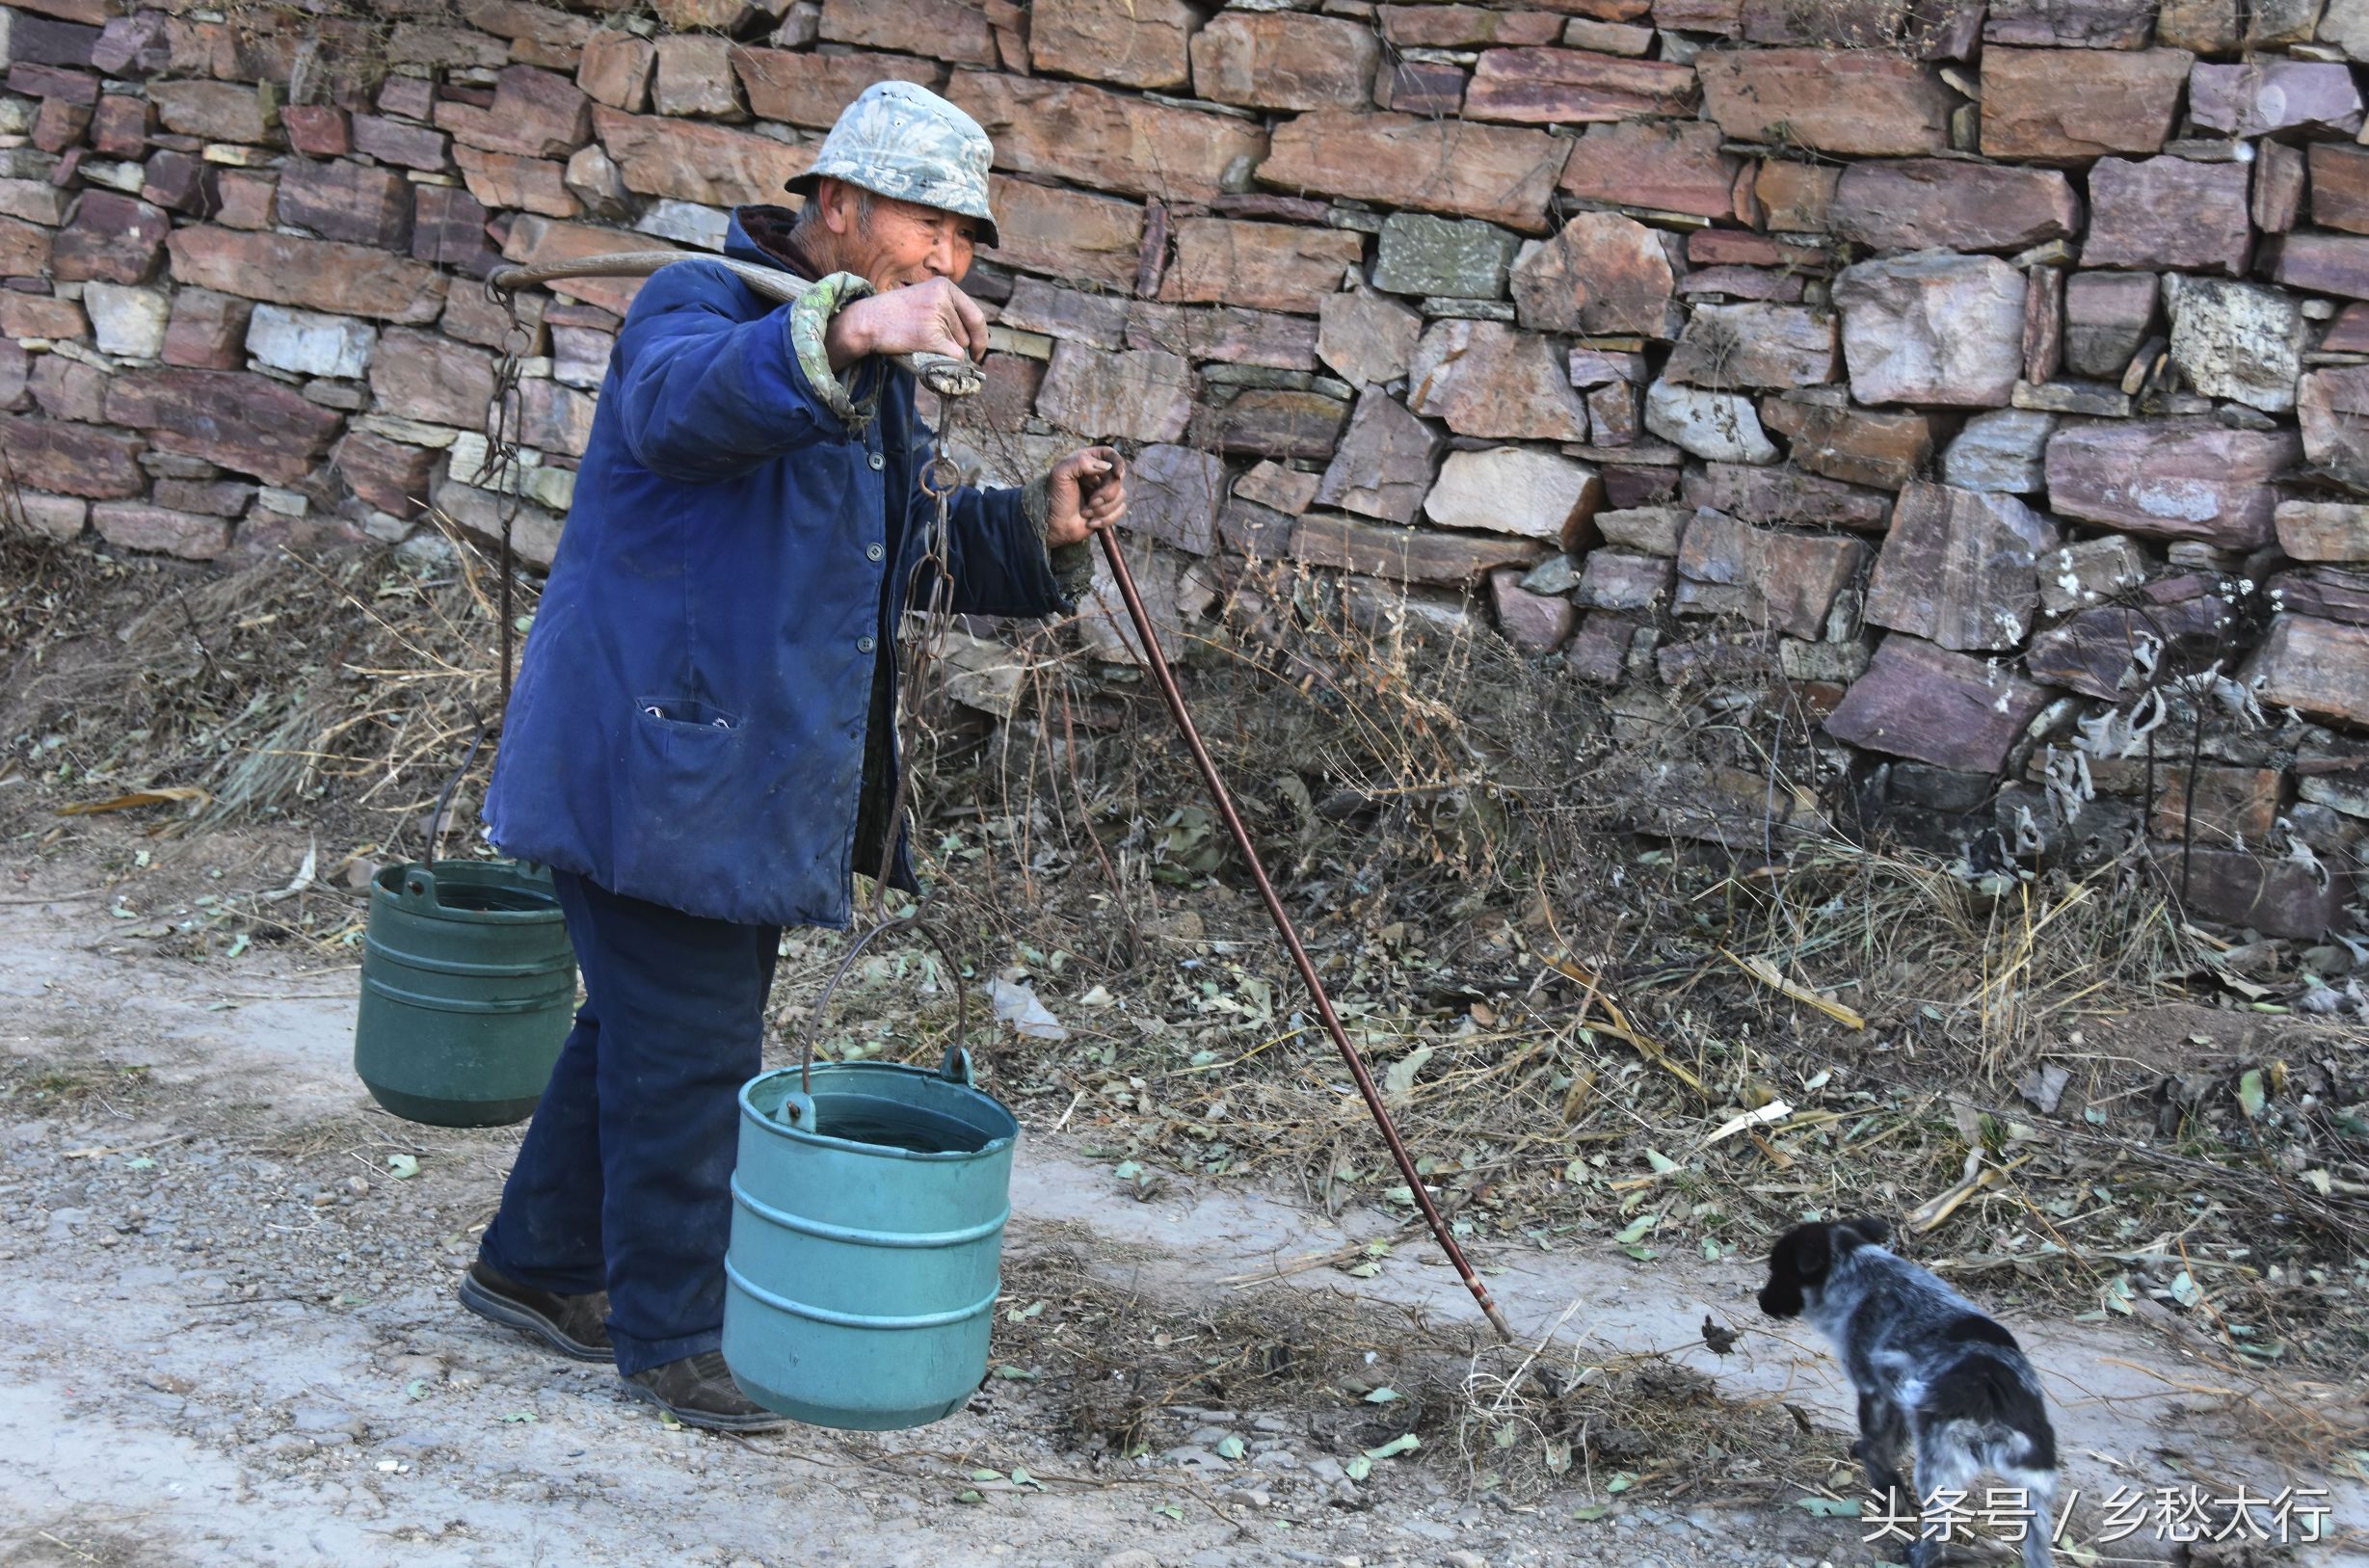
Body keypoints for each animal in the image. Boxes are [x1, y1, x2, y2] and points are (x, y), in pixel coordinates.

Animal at [1762, 1222, 2056, 1563]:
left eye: (1778, 1272)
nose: (1760, 1299)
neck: (1862, 1274)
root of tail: (1993, 1389)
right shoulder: (1895, 1399)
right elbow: (1889, 1444)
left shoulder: (1872, 1387)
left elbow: (1874, 1446)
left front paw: (1889, 1491)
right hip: (2036, 1488)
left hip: (1938, 1469)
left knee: (1938, 1531)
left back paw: (1919, 1553)